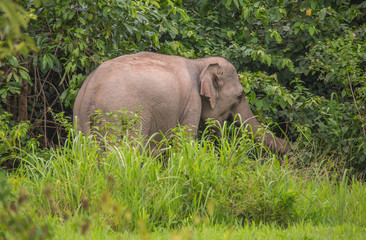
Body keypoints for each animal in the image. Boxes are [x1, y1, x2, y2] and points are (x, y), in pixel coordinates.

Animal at [73, 52, 292, 154]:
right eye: (239, 96)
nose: (291, 147)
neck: (199, 63)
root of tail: (90, 89)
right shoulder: (191, 102)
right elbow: (185, 141)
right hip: (119, 116)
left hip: (80, 121)